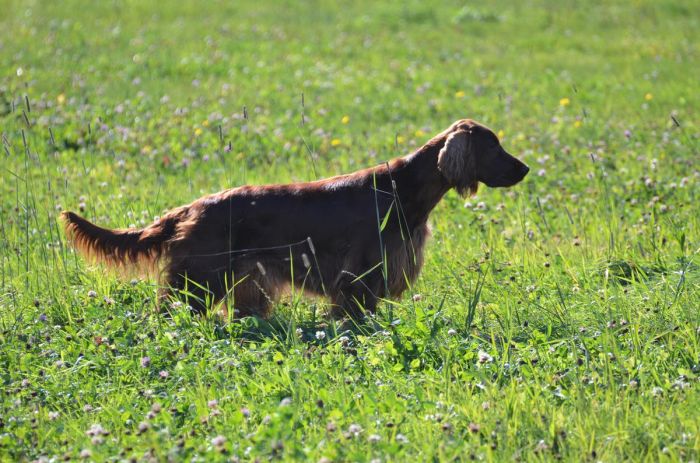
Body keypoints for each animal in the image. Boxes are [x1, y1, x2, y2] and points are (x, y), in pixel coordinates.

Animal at [63, 119, 528, 320]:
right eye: (494, 146)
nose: (525, 169)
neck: (404, 189)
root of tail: (190, 208)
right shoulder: (358, 276)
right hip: (198, 280)